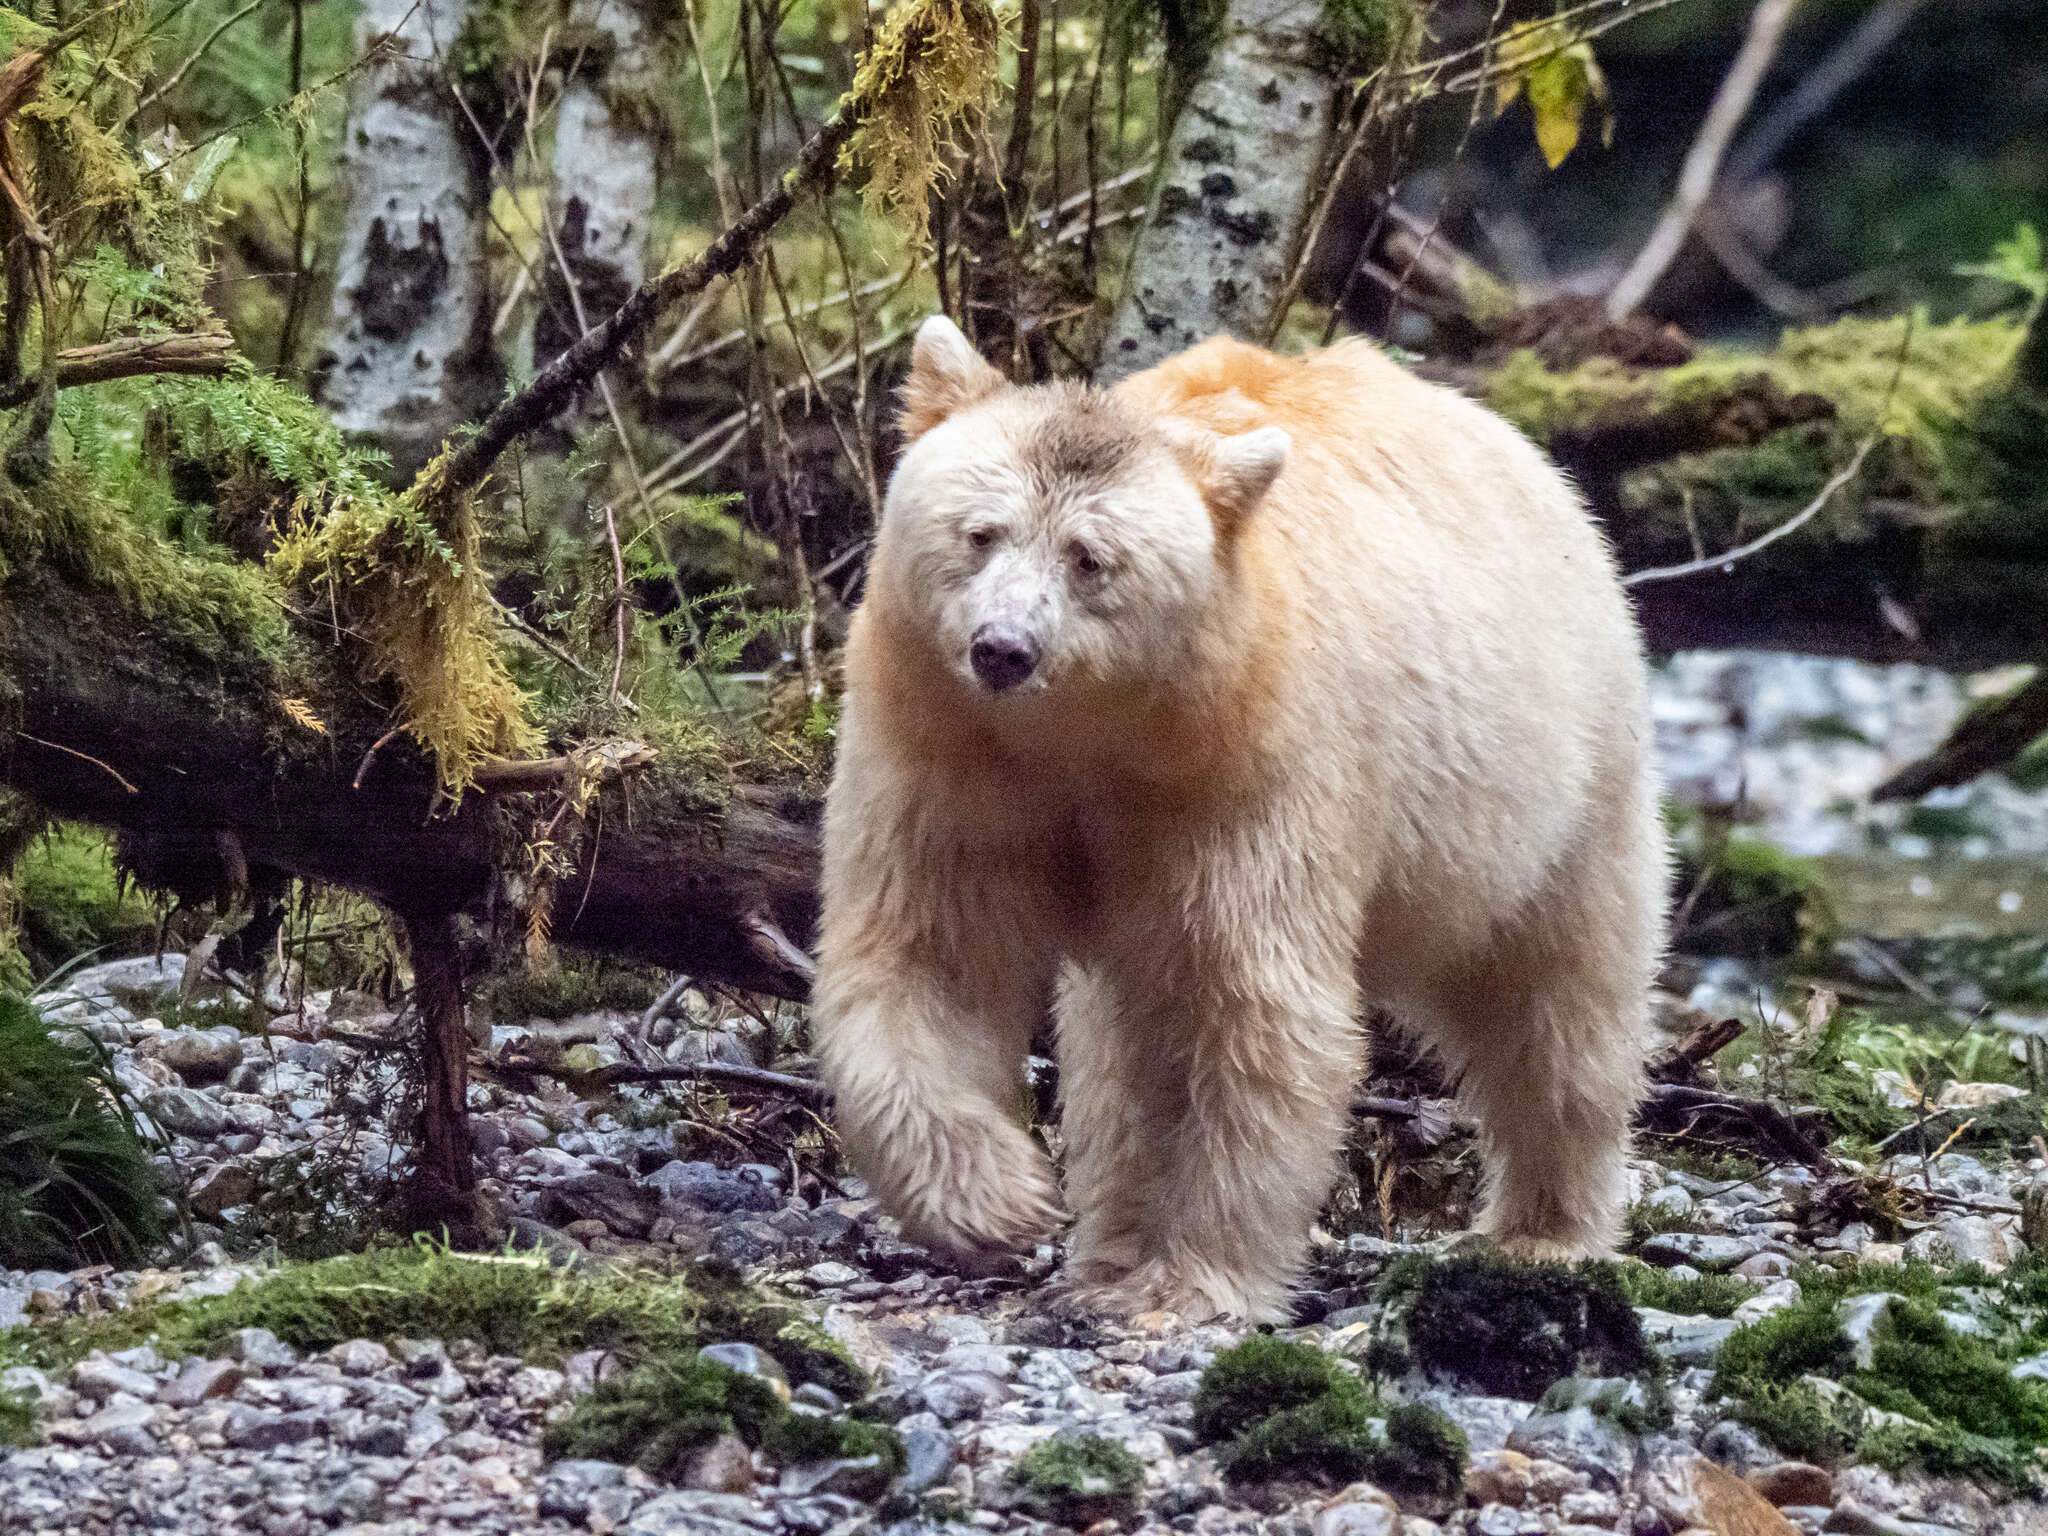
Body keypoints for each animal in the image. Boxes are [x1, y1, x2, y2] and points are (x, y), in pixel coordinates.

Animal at [806, 319, 1671, 1327]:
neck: (1090, 737)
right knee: (1123, 1046)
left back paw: (1544, 1227)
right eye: (980, 532)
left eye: (1089, 556)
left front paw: (1187, 1283)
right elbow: (929, 955)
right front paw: (996, 1200)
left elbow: (1251, 1002)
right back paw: (1108, 1247)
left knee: (1558, 998)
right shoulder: (945, 754)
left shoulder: (1244, 774)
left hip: (1552, 781)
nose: (1003, 649)